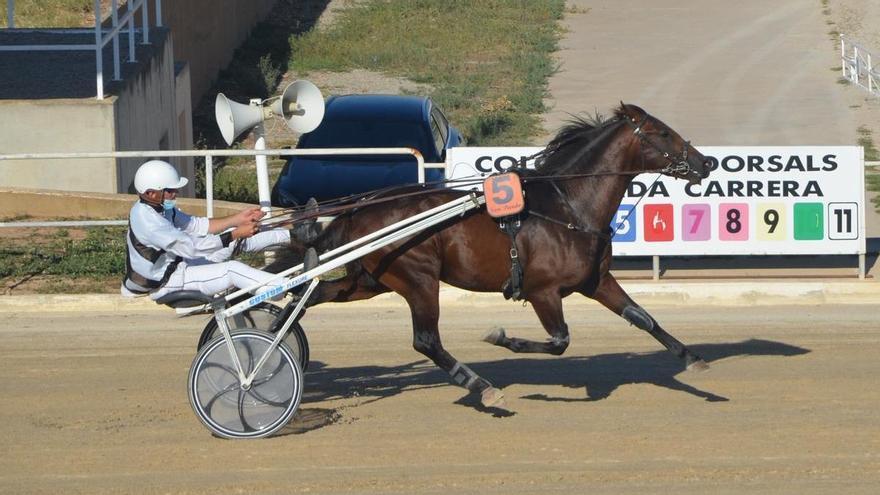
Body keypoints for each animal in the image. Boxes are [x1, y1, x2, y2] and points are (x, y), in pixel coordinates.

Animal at [274, 102, 716, 408]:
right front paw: (502, 338)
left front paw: (693, 359)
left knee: (313, 296)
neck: (568, 207)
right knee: (426, 340)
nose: (705, 161)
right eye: (662, 133)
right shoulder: (542, 291)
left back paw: (278, 330)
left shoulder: (595, 280)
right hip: (419, 278)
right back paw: (483, 388)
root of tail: (361, 207)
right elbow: (559, 341)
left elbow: (643, 317)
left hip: (373, 279)